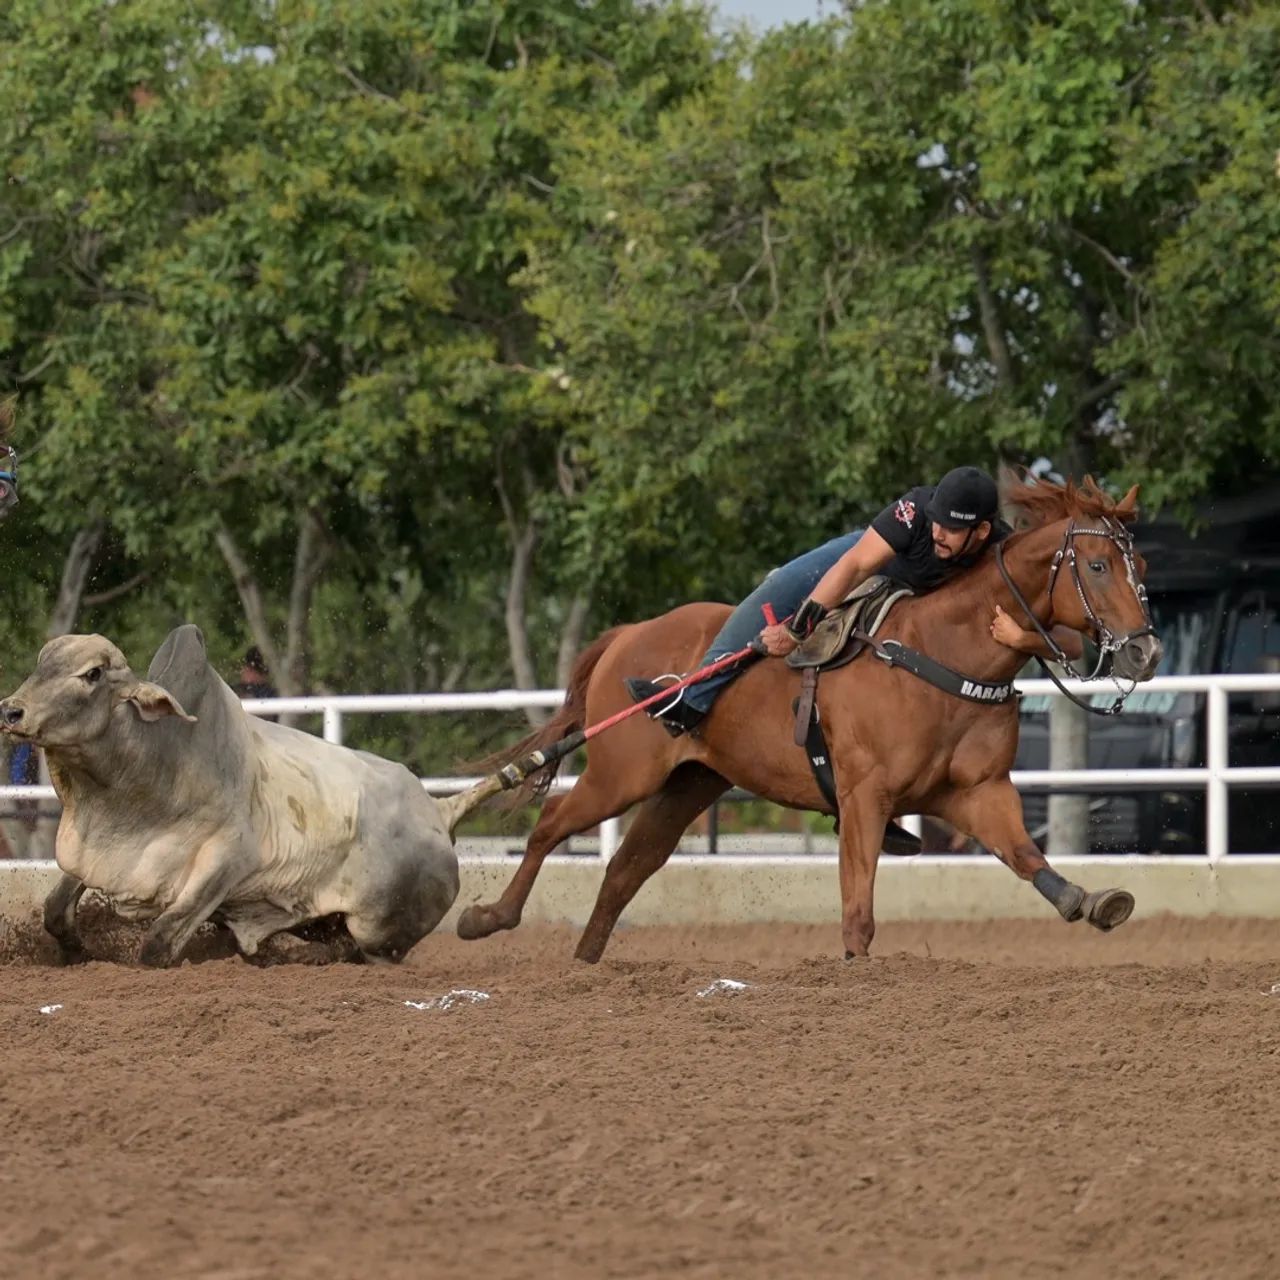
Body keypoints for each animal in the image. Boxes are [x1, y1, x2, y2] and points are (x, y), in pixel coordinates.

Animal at [457, 476, 1163, 961]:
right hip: (620, 774)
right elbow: (858, 910)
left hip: (690, 783)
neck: (939, 650)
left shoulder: (976, 793)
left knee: (625, 869)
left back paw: (583, 966)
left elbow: (1024, 856)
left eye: (1142, 566)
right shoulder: (863, 797)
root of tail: (628, 634)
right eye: (1097, 565)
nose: (1145, 652)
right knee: (552, 823)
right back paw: (486, 918)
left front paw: (1095, 902)